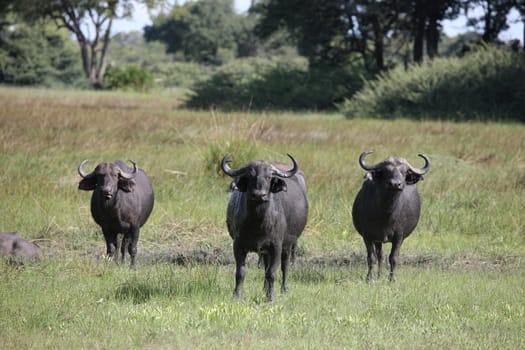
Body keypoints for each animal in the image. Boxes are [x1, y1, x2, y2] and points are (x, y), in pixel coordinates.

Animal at [220, 153, 308, 300]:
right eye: (251, 176)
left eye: (268, 177)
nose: (259, 195)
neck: (258, 223)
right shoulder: (238, 245)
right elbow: (240, 272)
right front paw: (237, 295)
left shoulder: (276, 246)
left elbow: (272, 273)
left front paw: (270, 297)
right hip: (266, 251)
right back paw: (264, 288)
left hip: (288, 244)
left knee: (285, 266)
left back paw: (284, 288)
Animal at [352, 152, 430, 284]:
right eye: (386, 171)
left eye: (404, 172)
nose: (395, 184)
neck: (386, 214)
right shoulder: (367, 236)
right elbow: (371, 257)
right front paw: (370, 279)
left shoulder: (399, 236)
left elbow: (393, 257)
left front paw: (392, 279)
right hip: (377, 240)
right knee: (380, 255)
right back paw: (379, 275)